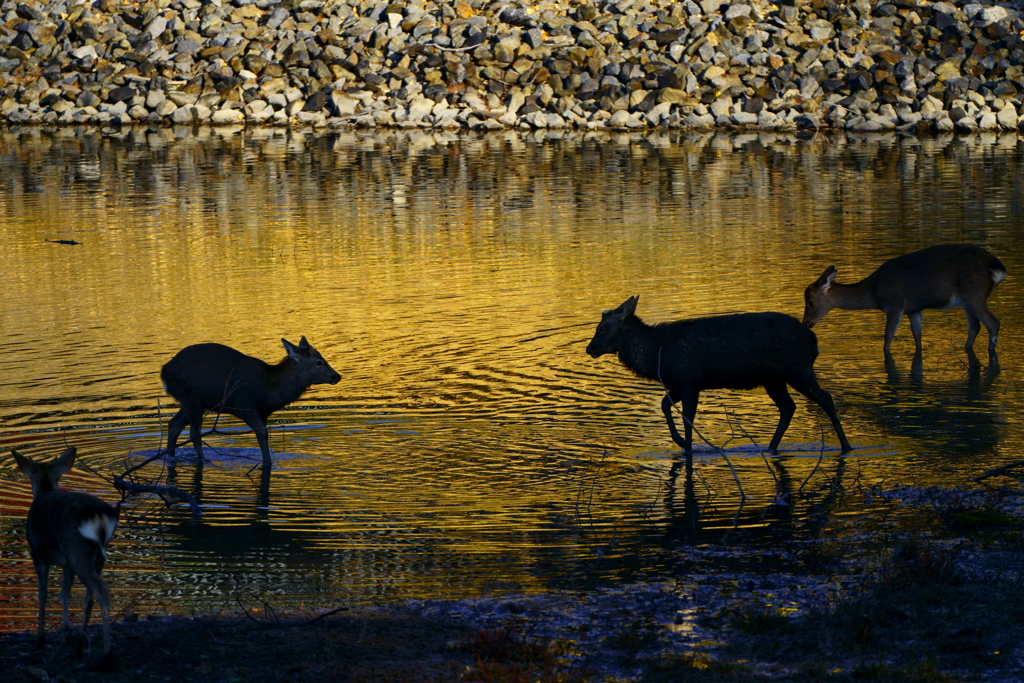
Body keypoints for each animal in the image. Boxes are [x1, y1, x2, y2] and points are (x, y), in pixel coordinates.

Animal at [12, 446, 117, 671]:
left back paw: (106, 656)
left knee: (101, 589)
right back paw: (80, 644)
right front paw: (67, 630)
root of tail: (99, 515)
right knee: (90, 597)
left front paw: (40, 639)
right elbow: (64, 592)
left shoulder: (37, 553)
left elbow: (43, 594)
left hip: (76, 548)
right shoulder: (66, 563)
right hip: (96, 555)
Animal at [161, 335, 342, 466]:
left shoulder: (263, 413)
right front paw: (268, 463)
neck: (268, 392)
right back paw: (204, 460)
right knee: (194, 432)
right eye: (318, 362)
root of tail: (164, 372)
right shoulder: (245, 406)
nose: (337, 376)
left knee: (174, 424)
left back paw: (170, 458)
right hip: (191, 398)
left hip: (194, 401)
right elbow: (262, 433)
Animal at [798, 246, 1007, 362]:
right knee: (975, 326)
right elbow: (917, 337)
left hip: (974, 293)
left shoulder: (894, 304)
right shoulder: (914, 309)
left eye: (811, 302)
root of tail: (998, 269)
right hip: (967, 300)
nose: (805, 323)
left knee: (993, 322)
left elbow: (887, 338)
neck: (873, 292)